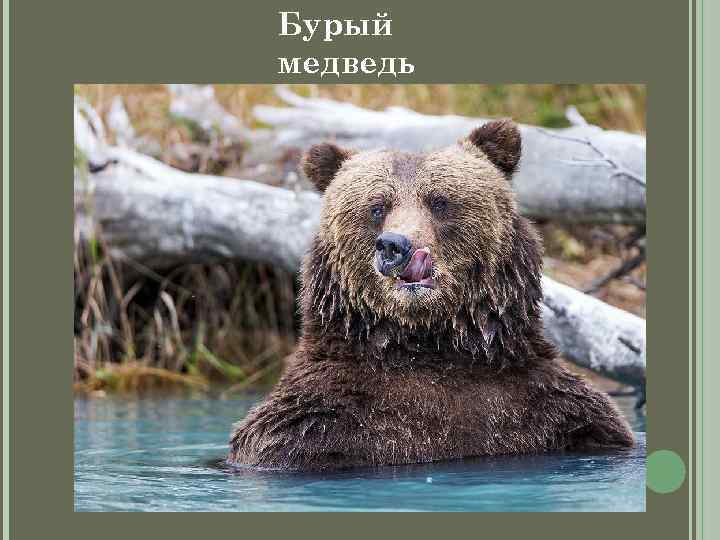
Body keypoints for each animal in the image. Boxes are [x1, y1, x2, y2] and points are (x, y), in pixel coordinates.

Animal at [228, 119, 634, 471]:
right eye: (377, 207)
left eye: (439, 202)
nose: (395, 245)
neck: (427, 344)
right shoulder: (307, 425)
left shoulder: (557, 412)